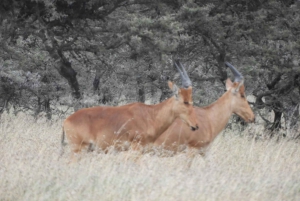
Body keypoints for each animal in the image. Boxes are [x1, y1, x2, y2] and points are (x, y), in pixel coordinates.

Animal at [60, 60, 199, 159]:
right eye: (185, 101)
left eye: (191, 100)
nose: (195, 126)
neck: (149, 114)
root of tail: (66, 121)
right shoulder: (136, 147)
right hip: (79, 149)